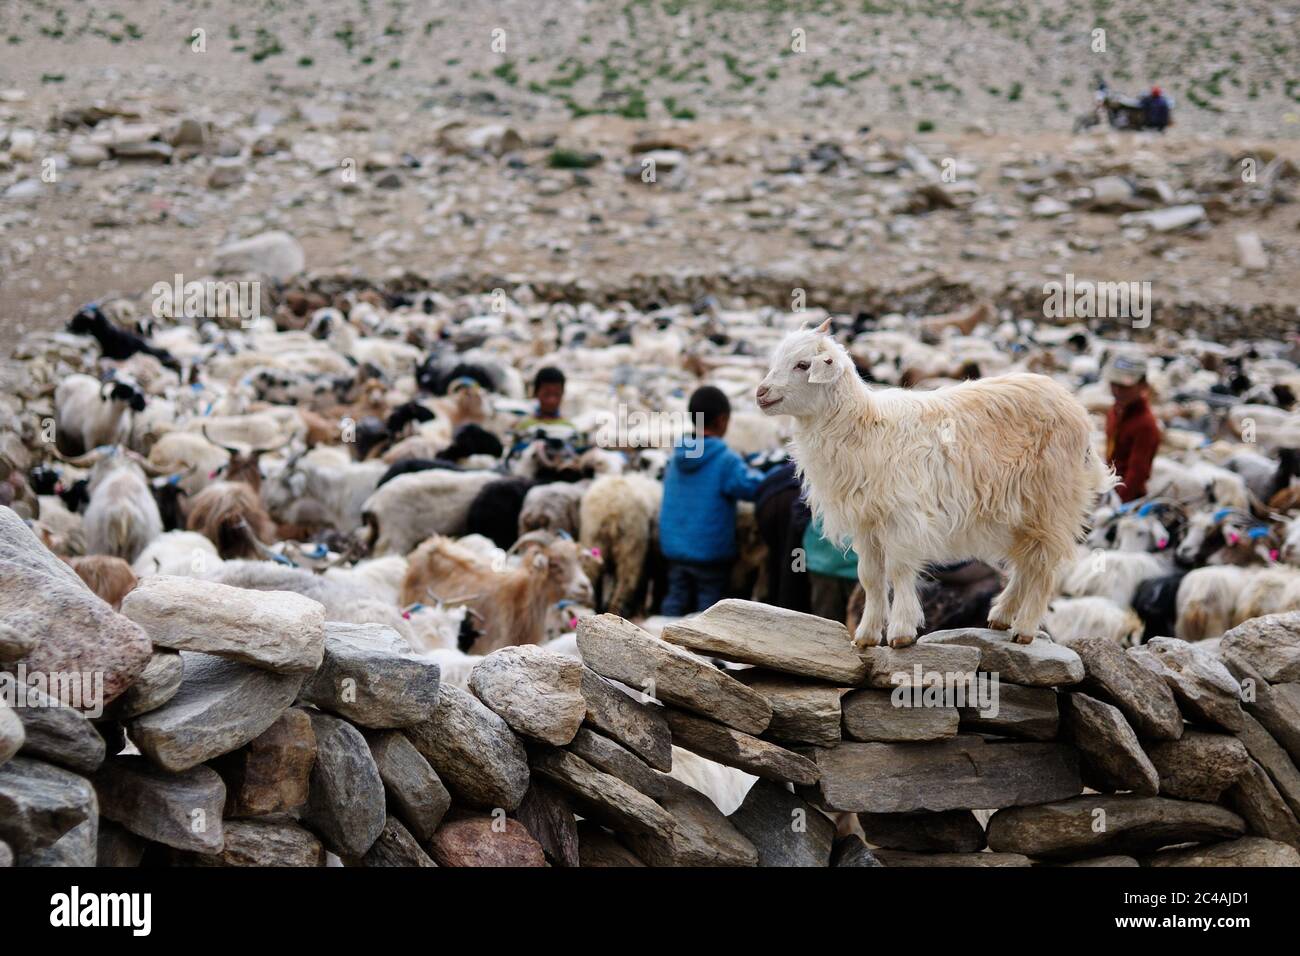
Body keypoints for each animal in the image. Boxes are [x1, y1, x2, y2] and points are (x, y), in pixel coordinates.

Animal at [759, 317, 1112, 647]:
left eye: (803, 365)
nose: (761, 393)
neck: (864, 427)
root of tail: (1077, 409)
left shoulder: (902, 517)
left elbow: (900, 570)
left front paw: (901, 632)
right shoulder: (867, 522)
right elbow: (870, 577)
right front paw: (867, 636)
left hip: (1052, 501)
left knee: (1043, 565)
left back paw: (1023, 628)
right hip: (1021, 510)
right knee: (1026, 563)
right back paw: (1000, 616)